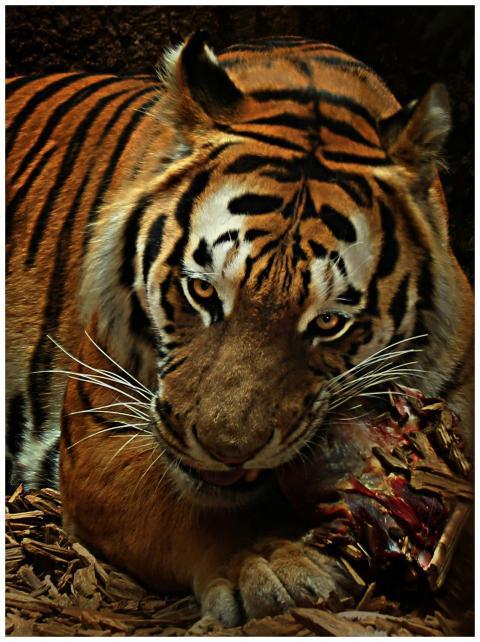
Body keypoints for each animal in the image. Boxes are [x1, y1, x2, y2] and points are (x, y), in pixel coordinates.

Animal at [6, 32, 474, 625]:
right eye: (203, 291)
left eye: (328, 321)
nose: (227, 452)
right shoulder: (98, 436)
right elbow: (191, 508)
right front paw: (273, 564)